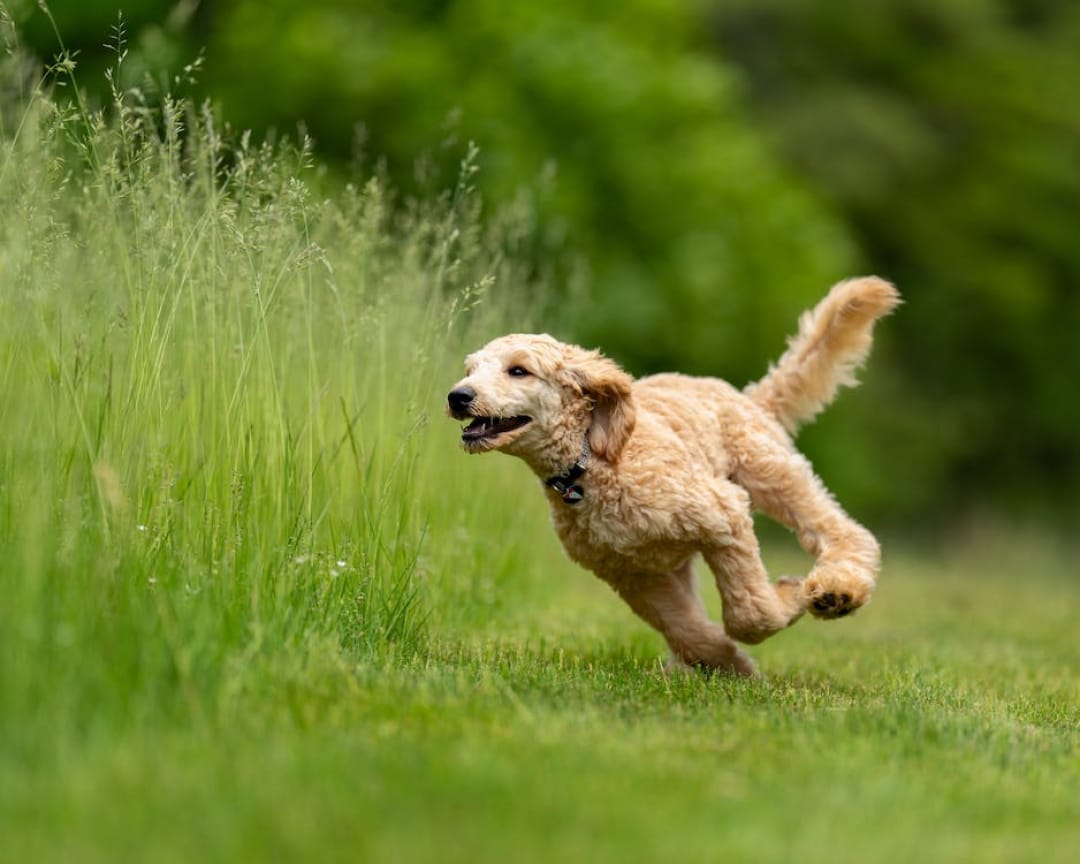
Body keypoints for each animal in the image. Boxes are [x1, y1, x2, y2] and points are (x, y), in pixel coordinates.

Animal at [449, 278, 902, 673]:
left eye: (519, 371)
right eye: (470, 369)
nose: (457, 395)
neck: (591, 466)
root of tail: (747, 397)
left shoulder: (724, 514)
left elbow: (748, 613)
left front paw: (789, 598)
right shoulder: (632, 574)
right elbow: (686, 627)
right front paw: (729, 665)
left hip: (769, 472)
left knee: (841, 530)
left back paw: (838, 591)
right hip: (678, 557)